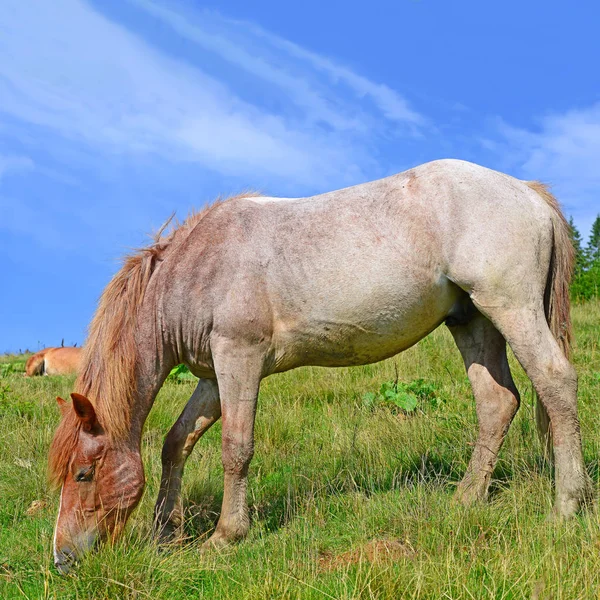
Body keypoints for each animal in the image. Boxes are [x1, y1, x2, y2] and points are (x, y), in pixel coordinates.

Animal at [47, 159, 592, 572]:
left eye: (82, 474)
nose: (62, 560)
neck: (196, 268)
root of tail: (527, 192)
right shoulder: (215, 375)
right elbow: (176, 442)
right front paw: (166, 533)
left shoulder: (239, 358)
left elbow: (235, 448)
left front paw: (226, 535)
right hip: (472, 320)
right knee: (498, 402)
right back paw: (465, 501)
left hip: (511, 307)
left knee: (555, 381)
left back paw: (567, 505)